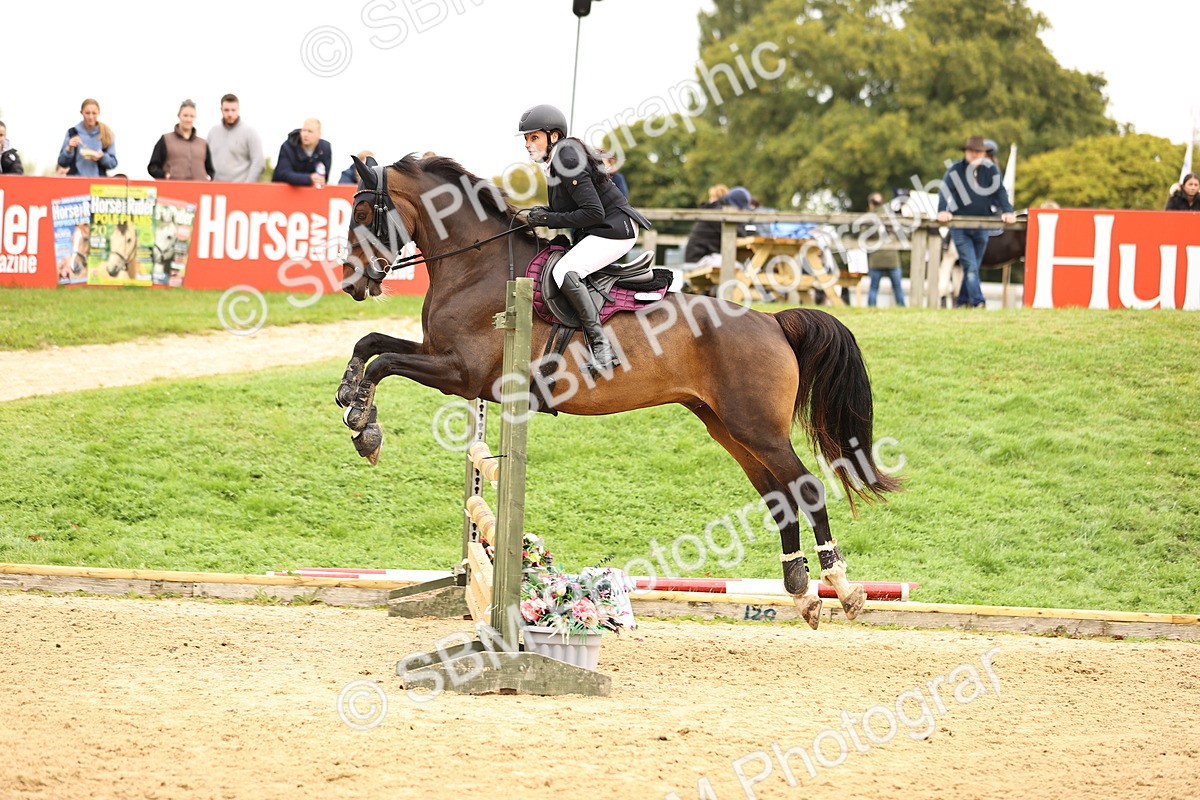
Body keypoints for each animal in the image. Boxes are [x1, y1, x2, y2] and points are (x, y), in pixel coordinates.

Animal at [336, 154, 902, 628]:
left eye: (363, 210)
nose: (350, 283)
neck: (479, 266)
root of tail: (772, 321)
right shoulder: (441, 358)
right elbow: (371, 343)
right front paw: (351, 400)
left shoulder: (459, 372)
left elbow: (385, 360)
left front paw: (364, 426)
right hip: (728, 428)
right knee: (780, 495)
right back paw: (802, 592)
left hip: (756, 428)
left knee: (805, 488)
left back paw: (842, 589)